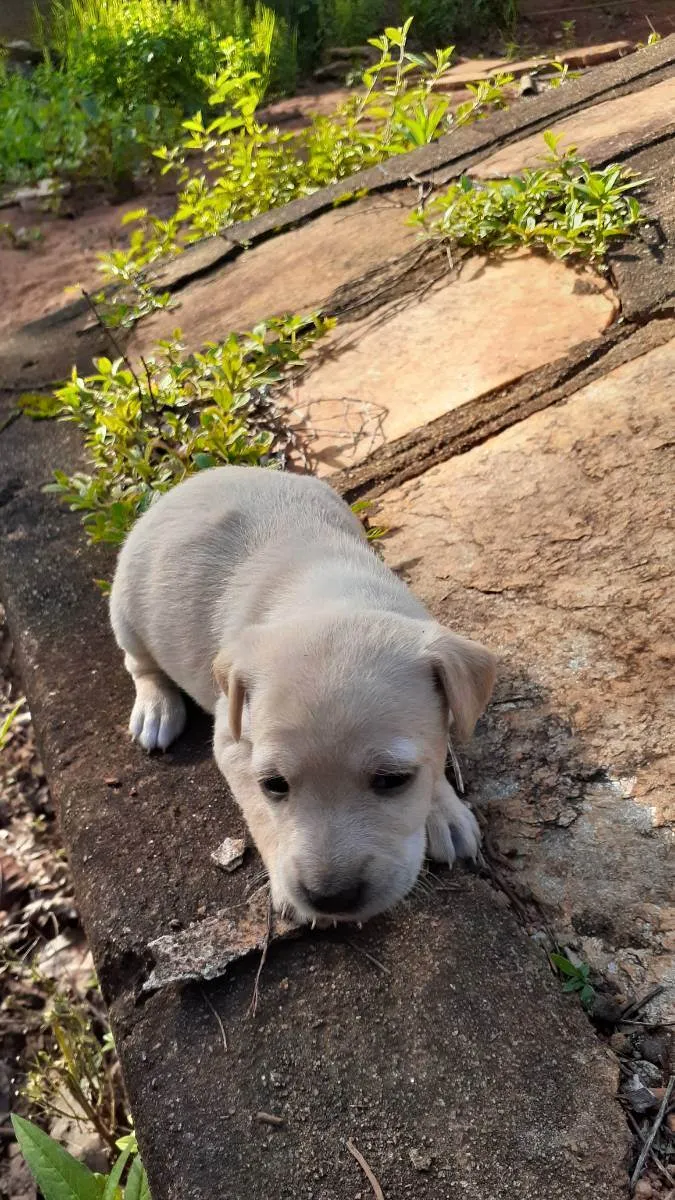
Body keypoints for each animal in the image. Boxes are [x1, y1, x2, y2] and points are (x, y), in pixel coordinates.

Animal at [107, 463, 492, 921]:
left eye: (393, 780)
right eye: (274, 784)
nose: (331, 900)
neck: (329, 596)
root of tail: (185, 484)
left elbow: (438, 753)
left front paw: (445, 811)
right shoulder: (233, 740)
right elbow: (258, 812)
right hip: (125, 609)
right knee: (139, 664)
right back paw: (156, 709)